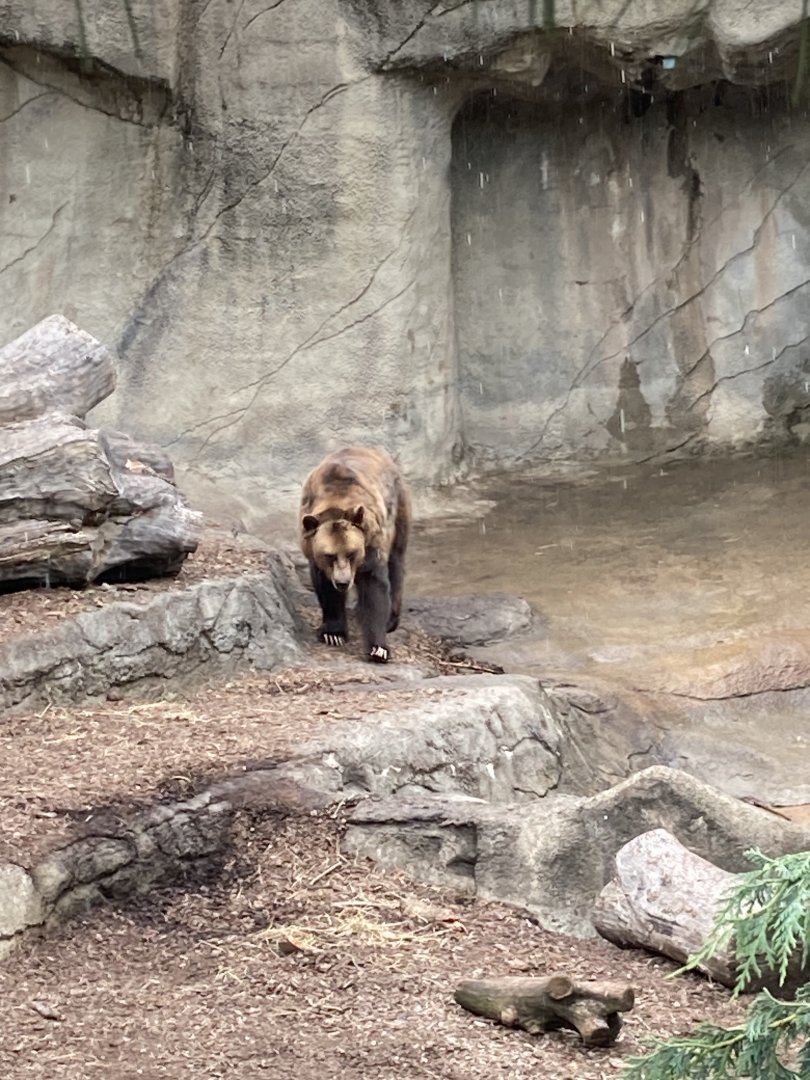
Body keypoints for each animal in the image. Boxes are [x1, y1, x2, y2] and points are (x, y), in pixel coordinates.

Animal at [299, 447, 411, 663]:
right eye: (330, 555)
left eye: (352, 553)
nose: (343, 582)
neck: (336, 498)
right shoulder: (315, 554)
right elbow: (326, 587)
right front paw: (333, 634)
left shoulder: (371, 541)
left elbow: (373, 588)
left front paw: (378, 648)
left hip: (398, 509)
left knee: (396, 562)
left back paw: (391, 620)